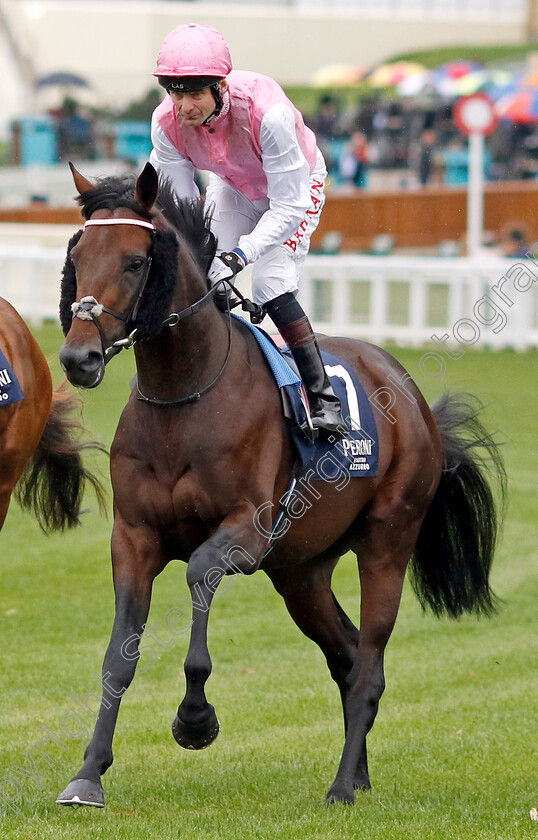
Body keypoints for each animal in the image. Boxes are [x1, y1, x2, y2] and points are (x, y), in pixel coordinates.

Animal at [56, 161, 504, 812]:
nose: (79, 357)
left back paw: (341, 787)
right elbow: (119, 657)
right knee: (348, 656)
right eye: (78, 253)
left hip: (387, 542)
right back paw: (358, 775)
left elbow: (198, 575)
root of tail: (412, 395)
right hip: (302, 573)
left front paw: (195, 719)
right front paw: (89, 773)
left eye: (136, 262)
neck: (183, 397)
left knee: (369, 662)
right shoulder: (134, 537)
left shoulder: (247, 531)